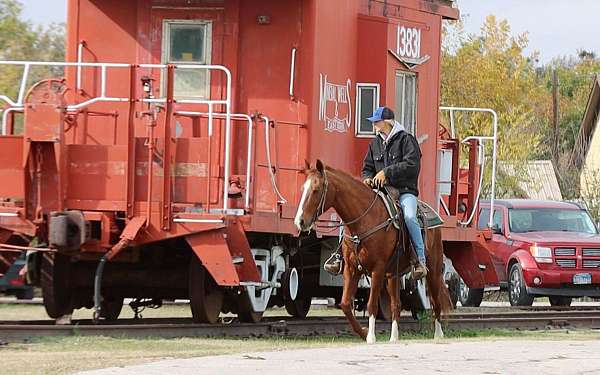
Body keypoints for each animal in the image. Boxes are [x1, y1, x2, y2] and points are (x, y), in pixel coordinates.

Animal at [296, 161, 450, 344]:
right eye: (302, 188)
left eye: (316, 189)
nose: (300, 221)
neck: (365, 220)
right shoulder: (351, 269)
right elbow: (345, 304)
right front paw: (362, 332)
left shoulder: (378, 269)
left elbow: (371, 304)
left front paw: (370, 336)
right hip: (393, 275)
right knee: (396, 305)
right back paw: (394, 337)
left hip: (433, 269)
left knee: (435, 301)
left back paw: (439, 335)